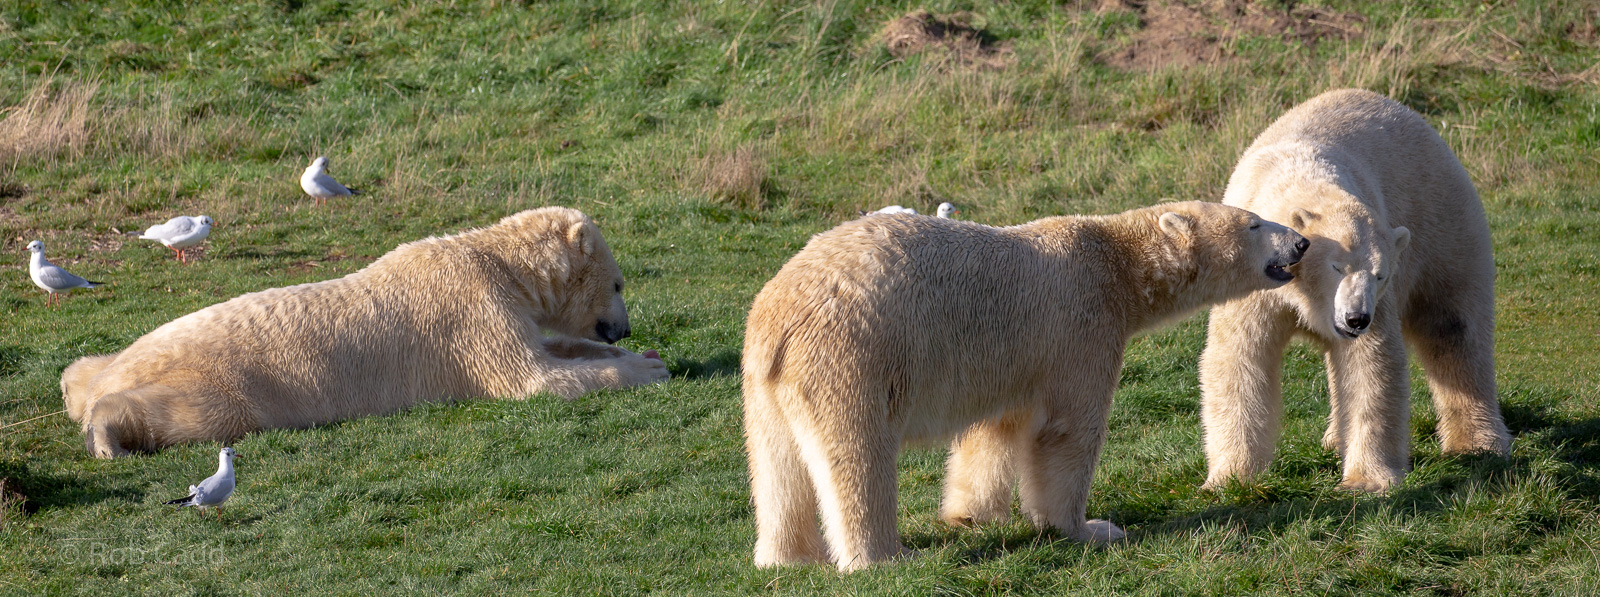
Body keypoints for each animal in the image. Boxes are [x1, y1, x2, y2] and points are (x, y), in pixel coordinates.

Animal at [62, 207, 669, 458]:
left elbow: (550, 348)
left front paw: (649, 355)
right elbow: (532, 379)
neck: (493, 260)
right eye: (618, 282)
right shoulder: (474, 314)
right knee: (197, 414)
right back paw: (106, 436)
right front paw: (645, 369)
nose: (623, 328)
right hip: (222, 382)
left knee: (82, 368)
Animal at [742, 201, 1309, 571]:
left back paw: (786, 557)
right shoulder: (1081, 326)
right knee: (857, 454)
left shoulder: (1014, 361)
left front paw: (970, 515)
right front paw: (1089, 529)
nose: (1302, 242)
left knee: (776, 464)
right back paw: (883, 557)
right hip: (853, 358)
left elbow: (994, 433)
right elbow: (1068, 433)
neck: (1116, 264)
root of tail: (779, 319)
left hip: (765, 383)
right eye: (1255, 222)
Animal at [1198, 88, 1512, 493]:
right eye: (1337, 267)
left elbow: (1371, 365)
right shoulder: (1254, 283)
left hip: (1442, 225)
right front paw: (1229, 478)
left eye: (1380, 275)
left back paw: (1476, 443)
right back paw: (1335, 438)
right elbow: (1240, 358)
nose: (1356, 318)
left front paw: (1365, 480)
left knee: (1453, 329)